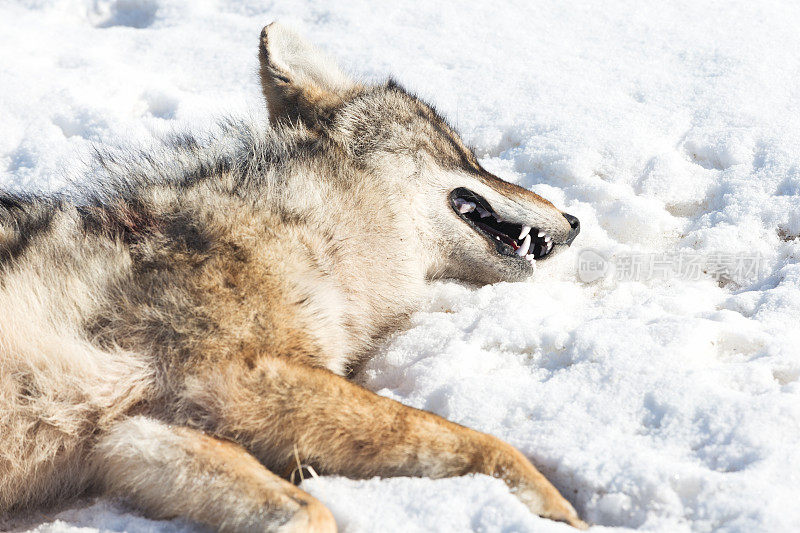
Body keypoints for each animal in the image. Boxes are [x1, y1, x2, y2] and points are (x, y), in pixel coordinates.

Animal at [1, 22, 580, 528]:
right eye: (468, 156)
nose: (575, 221)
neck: (309, 224)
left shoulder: (132, 434)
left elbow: (309, 510)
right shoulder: (243, 375)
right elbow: (483, 442)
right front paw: (566, 514)